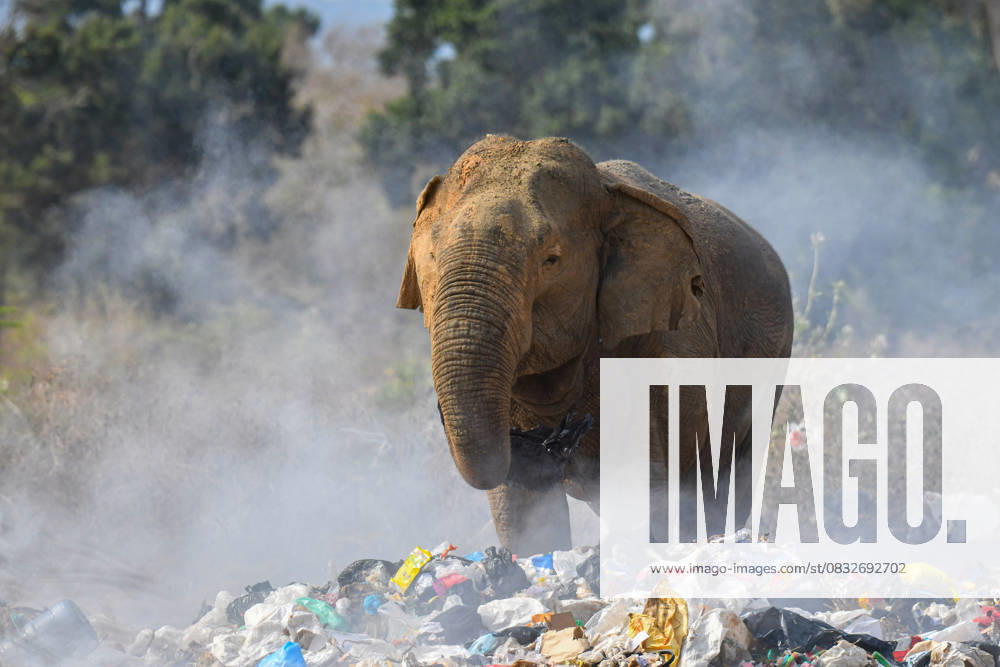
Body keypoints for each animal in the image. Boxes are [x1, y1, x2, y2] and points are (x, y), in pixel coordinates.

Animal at [396, 135, 794, 555]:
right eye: (432, 257)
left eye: (551, 259)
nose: (554, 438)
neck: (608, 196)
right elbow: (521, 505)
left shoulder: (673, 338)